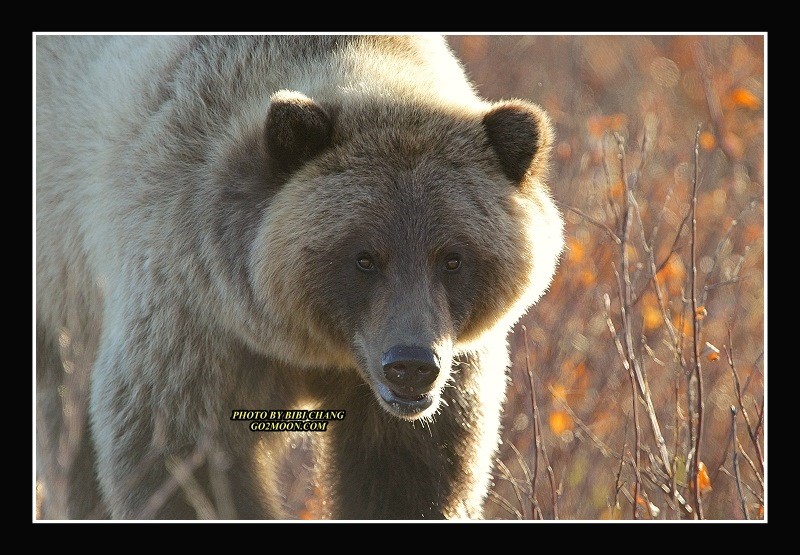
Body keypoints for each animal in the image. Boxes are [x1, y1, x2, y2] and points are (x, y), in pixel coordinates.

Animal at [35, 34, 564, 520]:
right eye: (364, 257)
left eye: (453, 257)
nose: (410, 365)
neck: (311, 347)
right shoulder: (197, 318)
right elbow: (180, 460)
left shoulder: (450, 370)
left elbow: (410, 471)